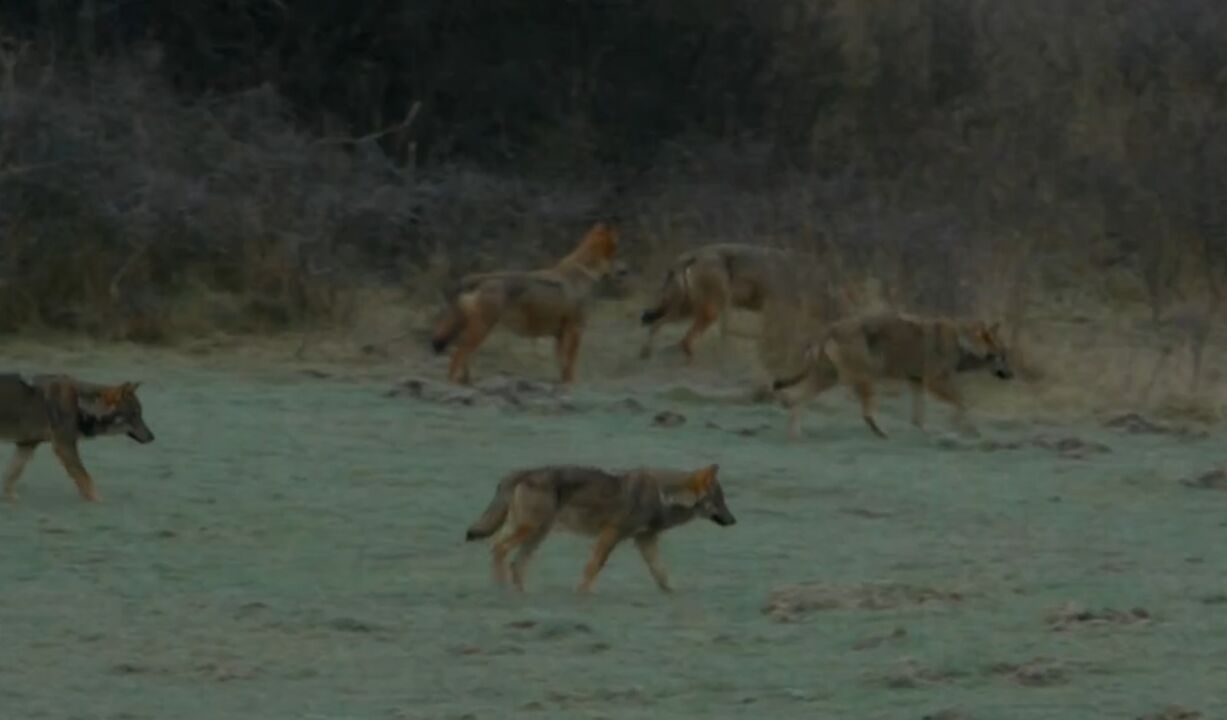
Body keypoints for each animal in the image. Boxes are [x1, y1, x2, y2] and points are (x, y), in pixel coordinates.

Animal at [0, 375, 155, 505]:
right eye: (135, 414)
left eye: (140, 413)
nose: (152, 437)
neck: (80, 404)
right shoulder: (64, 446)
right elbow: (85, 478)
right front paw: (100, 501)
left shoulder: (27, 445)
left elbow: (12, 473)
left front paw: (9, 497)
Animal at [434, 222, 623, 385]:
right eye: (617, 250)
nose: (626, 271)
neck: (585, 272)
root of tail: (478, 277)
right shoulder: (576, 329)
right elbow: (571, 366)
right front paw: (572, 387)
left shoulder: (560, 335)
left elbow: (563, 367)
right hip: (481, 330)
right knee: (457, 358)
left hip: (474, 331)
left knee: (461, 357)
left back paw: (466, 383)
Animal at [461, 463, 731, 593]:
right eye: (720, 501)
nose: (734, 521)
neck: (663, 496)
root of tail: (520, 472)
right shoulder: (611, 533)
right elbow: (594, 566)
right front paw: (583, 593)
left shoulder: (645, 541)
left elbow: (661, 573)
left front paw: (674, 592)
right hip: (530, 531)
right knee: (498, 548)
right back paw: (500, 589)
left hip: (536, 535)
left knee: (513, 560)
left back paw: (517, 592)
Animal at [770, 314, 1011, 439]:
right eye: (1002, 355)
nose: (1012, 375)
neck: (964, 343)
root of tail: (828, 328)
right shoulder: (935, 382)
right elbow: (963, 403)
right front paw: (967, 429)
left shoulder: (917, 382)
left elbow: (919, 417)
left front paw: (927, 432)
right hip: (863, 379)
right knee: (867, 414)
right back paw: (882, 433)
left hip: (830, 379)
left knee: (795, 400)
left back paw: (795, 434)